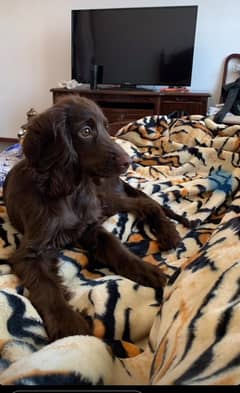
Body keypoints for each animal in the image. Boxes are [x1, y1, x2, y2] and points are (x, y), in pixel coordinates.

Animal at [3, 97, 181, 340]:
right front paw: (68, 324)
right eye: (86, 131)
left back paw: (169, 233)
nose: (128, 161)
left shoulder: (90, 226)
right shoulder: (30, 252)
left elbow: (117, 247)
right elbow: (47, 286)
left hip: (104, 198)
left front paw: (145, 269)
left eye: (106, 127)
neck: (69, 190)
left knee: (147, 203)